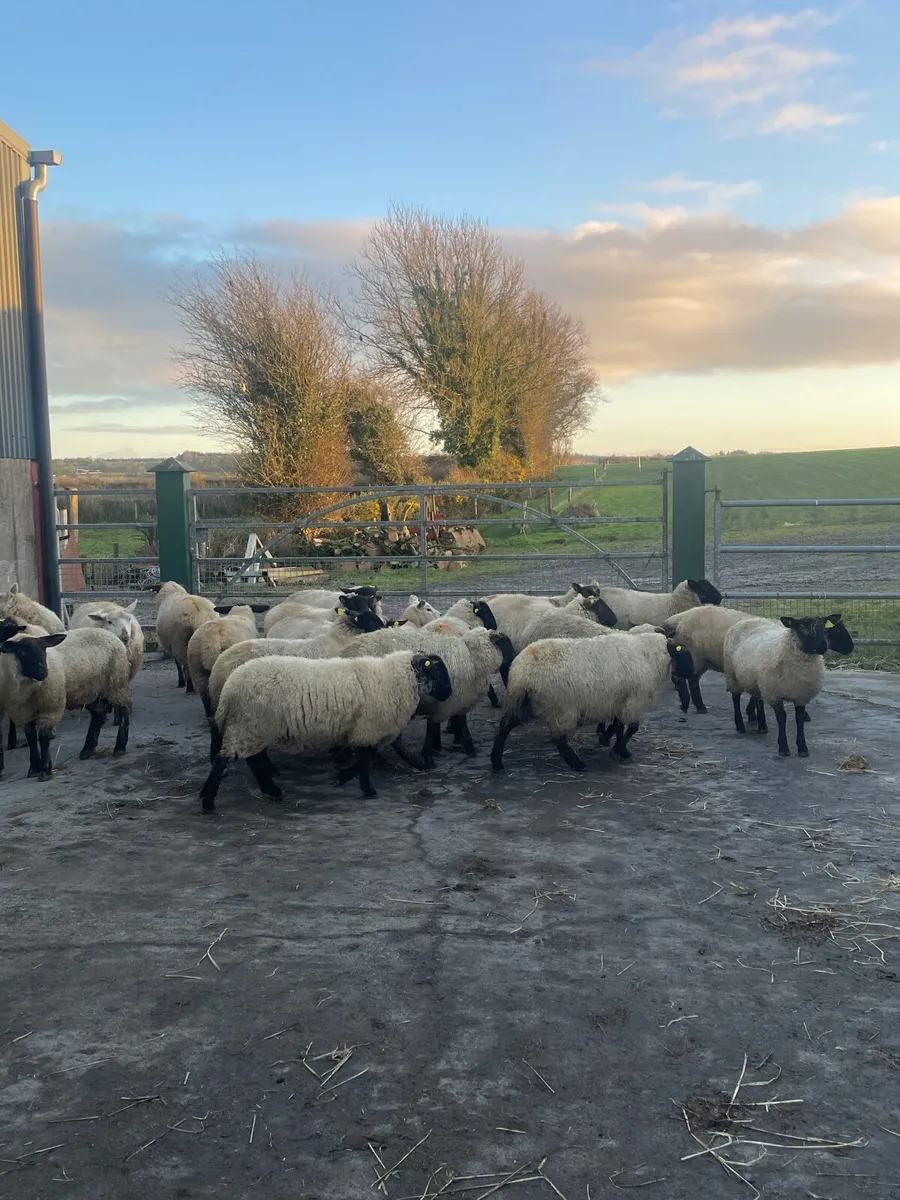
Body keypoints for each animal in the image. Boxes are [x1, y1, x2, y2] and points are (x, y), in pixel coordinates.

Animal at [0, 620, 66, 779]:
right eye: (21, 652)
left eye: (44, 649)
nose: (43, 671)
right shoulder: (23, 713)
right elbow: (30, 738)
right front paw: (34, 767)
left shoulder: (49, 710)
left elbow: (43, 737)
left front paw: (46, 769)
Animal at [200, 651, 453, 810]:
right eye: (438, 671)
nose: (449, 694)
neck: (397, 679)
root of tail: (227, 690)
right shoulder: (368, 728)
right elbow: (366, 759)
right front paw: (367, 789)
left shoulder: (365, 730)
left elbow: (369, 757)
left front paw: (342, 777)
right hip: (251, 724)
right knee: (226, 761)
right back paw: (208, 803)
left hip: (254, 727)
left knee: (255, 760)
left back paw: (271, 791)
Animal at [491, 631, 695, 773]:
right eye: (686, 655)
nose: (692, 674)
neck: (648, 656)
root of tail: (523, 674)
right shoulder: (633, 701)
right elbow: (632, 728)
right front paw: (618, 750)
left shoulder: (618, 700)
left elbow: (618, 726)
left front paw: (613, 745)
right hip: (560, 706)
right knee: (559, 740)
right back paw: (578, 765)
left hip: (525, 702)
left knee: (504, 726)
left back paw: (497, 763)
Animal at [723, 614, 853, 757]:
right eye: (802, 628)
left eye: (824, 628)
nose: (823, 647)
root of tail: (748, 620)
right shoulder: (775, 693)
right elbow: (782, 718)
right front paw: (783, 747)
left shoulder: (801, 695)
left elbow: (799, 719)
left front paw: (802, 748)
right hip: (732, 674)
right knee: (736, 698)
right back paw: (740, 726)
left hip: (758, 680)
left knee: (758, 699)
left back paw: (762, 725)